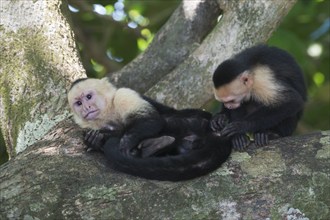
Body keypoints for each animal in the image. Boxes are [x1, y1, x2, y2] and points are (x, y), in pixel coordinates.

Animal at [67, 77, 232, 180]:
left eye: (89, 97)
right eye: (78, 103)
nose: (86, 108)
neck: (108, 114)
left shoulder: (122, 95)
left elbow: (151, 120)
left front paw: (123, 141)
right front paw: (94, 139)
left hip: (194, 122)